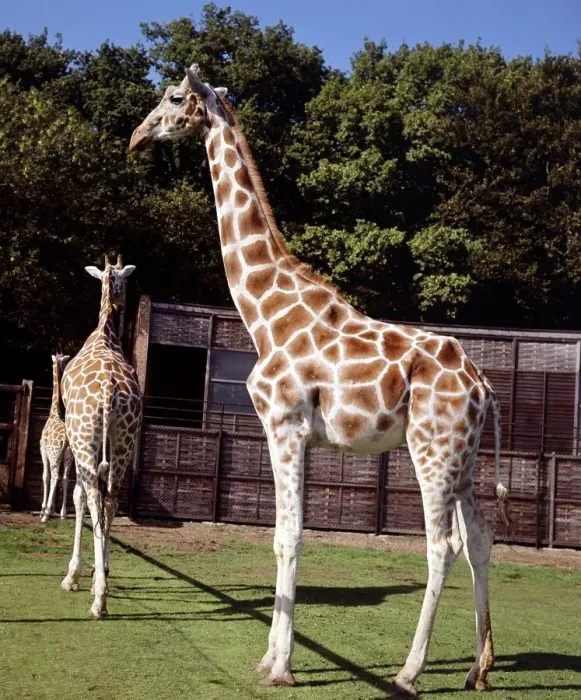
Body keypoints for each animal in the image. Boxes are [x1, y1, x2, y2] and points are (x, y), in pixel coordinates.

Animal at [130, 65, 509, 696]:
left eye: (175, 98)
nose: (137, 137)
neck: (264, 313)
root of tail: (485, 388)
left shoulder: (284, 425)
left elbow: (290, 537)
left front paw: (281, 667)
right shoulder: (294, 434)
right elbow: (281, 533)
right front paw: (267, 658)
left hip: (431, 450)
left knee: (443, 545)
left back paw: (409, 672)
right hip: (464, 458)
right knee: (479, 539)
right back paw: (478, 669)